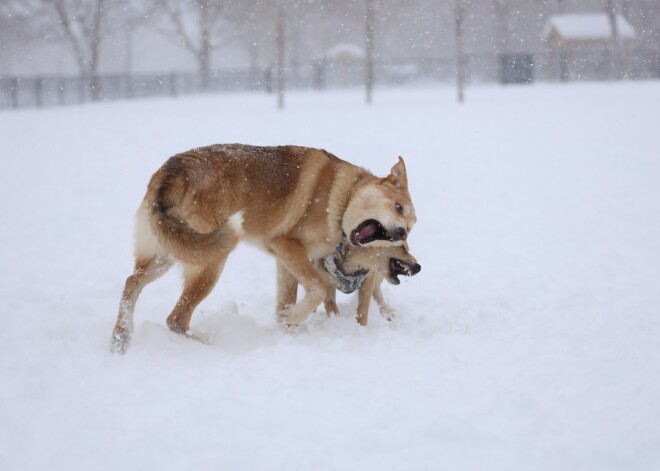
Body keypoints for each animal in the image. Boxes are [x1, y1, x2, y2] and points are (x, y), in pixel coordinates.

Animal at [111, 145, 416, 354]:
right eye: (398, 208)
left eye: (410, 228)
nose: (402, 232)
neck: (342, 199)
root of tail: (173, 172)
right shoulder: (285, 245)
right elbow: (318, 289)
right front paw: (293, 318)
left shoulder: (285, 261)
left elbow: (290, 298)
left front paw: (288, 326)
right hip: (211, 261)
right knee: (175, 318)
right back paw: (209, 345)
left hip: (169, 253)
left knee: (132, 284)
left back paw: (121, 337)